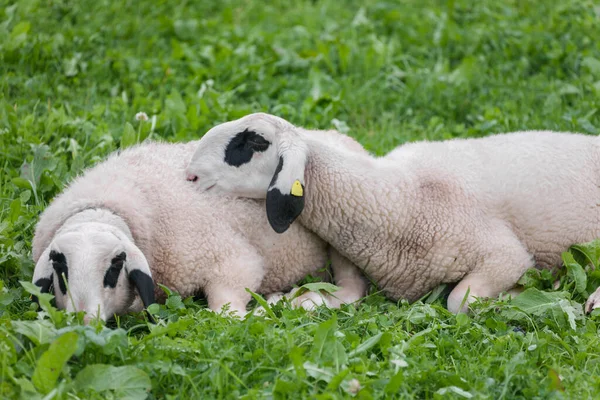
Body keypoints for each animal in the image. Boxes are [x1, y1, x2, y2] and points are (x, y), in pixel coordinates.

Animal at [31, 140, 366, 322]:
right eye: (59, 265)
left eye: (116, 265)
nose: (83, 319)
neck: (104, 207)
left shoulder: (231, 260)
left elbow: (228, 313)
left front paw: (274, 305)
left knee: (353, 288)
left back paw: (308, 300)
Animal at [184, 111, 600, 312]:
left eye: (253, 142)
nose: (189, 174)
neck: (397, 197)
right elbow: (342, 295)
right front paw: (293, 300)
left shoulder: (504, 254)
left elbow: (459, 301)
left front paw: (522, 294)